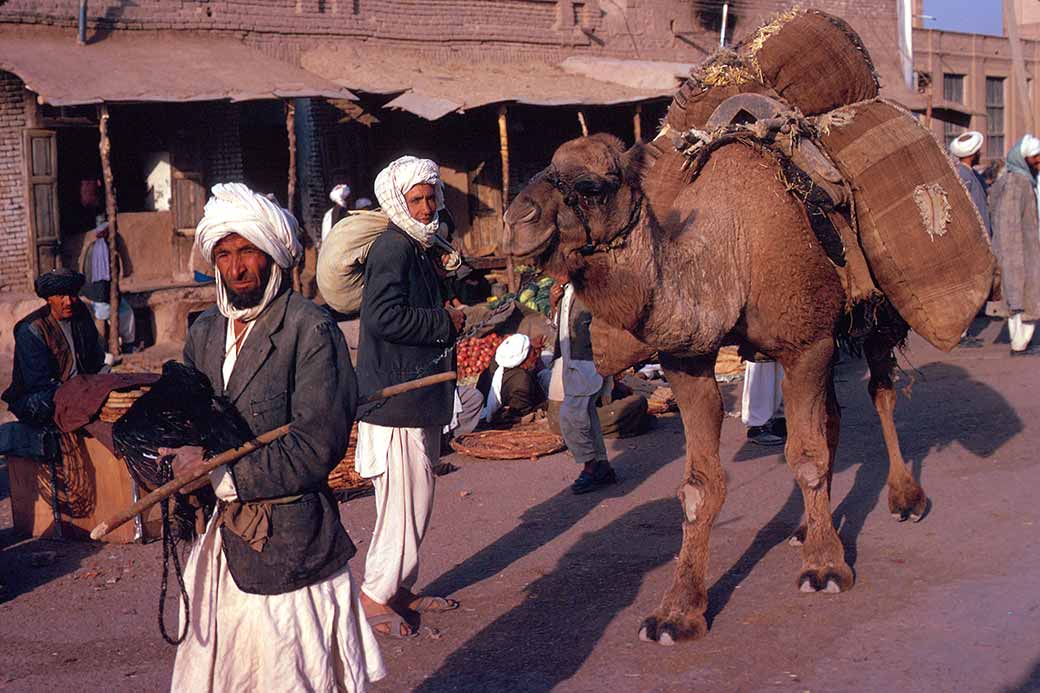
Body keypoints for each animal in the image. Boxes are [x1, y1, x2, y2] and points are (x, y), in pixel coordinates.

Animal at [501, 132, 929, 645]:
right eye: (545, 165)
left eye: (591, 187)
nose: (516, 219)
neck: (730, 252)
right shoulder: (689, 361)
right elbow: (700, 486)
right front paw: (677, 612)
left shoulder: (806, 343)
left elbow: (806, 457)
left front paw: (826, 568)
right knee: (833, 416)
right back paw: (808, 528)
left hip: (875, 315)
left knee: (880, 392)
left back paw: (905, 499)